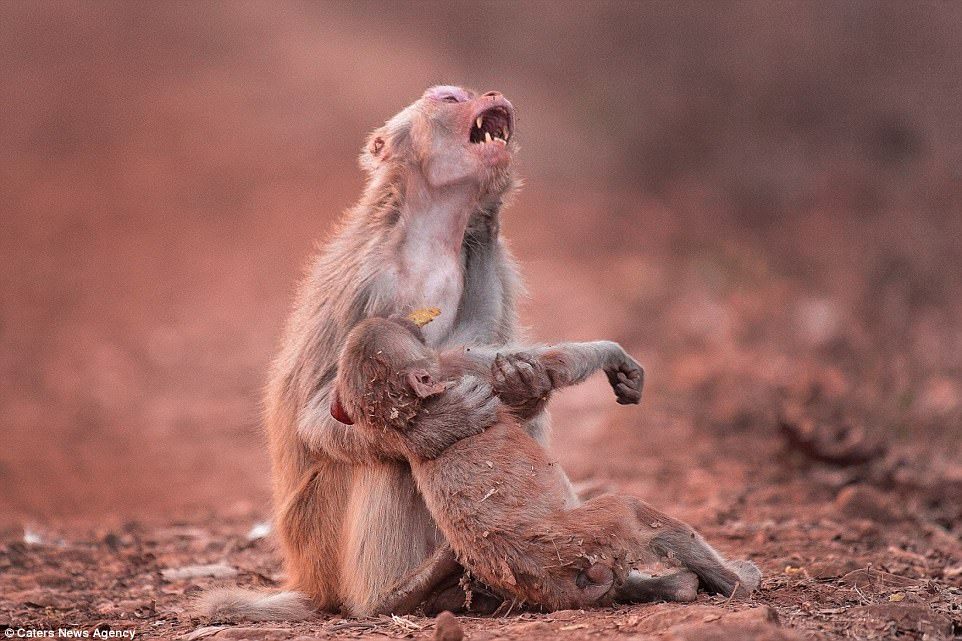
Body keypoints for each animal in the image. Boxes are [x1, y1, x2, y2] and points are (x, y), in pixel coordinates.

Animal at [200, 86, 568, 620]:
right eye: (450, 98)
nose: (492, 94)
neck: (430, 237)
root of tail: (305, 578)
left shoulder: (492, 266)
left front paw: (525, 381)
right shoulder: (369, 286)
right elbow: (322, 413)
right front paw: (441, 426)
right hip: (319, 537)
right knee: (385, 458)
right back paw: (395, 595)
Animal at [330, 314, 756, 608]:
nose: (404, 317)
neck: (410, 415)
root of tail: (554, 581)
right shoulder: (456, 369)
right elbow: (556, 364)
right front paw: (613, 354)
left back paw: (678, 585)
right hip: (585, 536)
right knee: (631, 510)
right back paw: (737, 582)